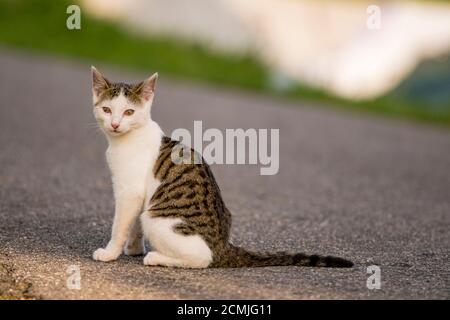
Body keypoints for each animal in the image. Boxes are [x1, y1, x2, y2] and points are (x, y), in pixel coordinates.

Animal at [90, 67, 352, 268]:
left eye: (129, 112)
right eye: (106, 110)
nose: (115, 124)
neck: (126, 139)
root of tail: (223, 246)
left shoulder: (130, 192)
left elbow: (120, 225)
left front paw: (110, 252)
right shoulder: (140, 194)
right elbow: (134, 225)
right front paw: (133, 248)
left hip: (158, 220)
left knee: (202, 258)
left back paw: (157, 258)